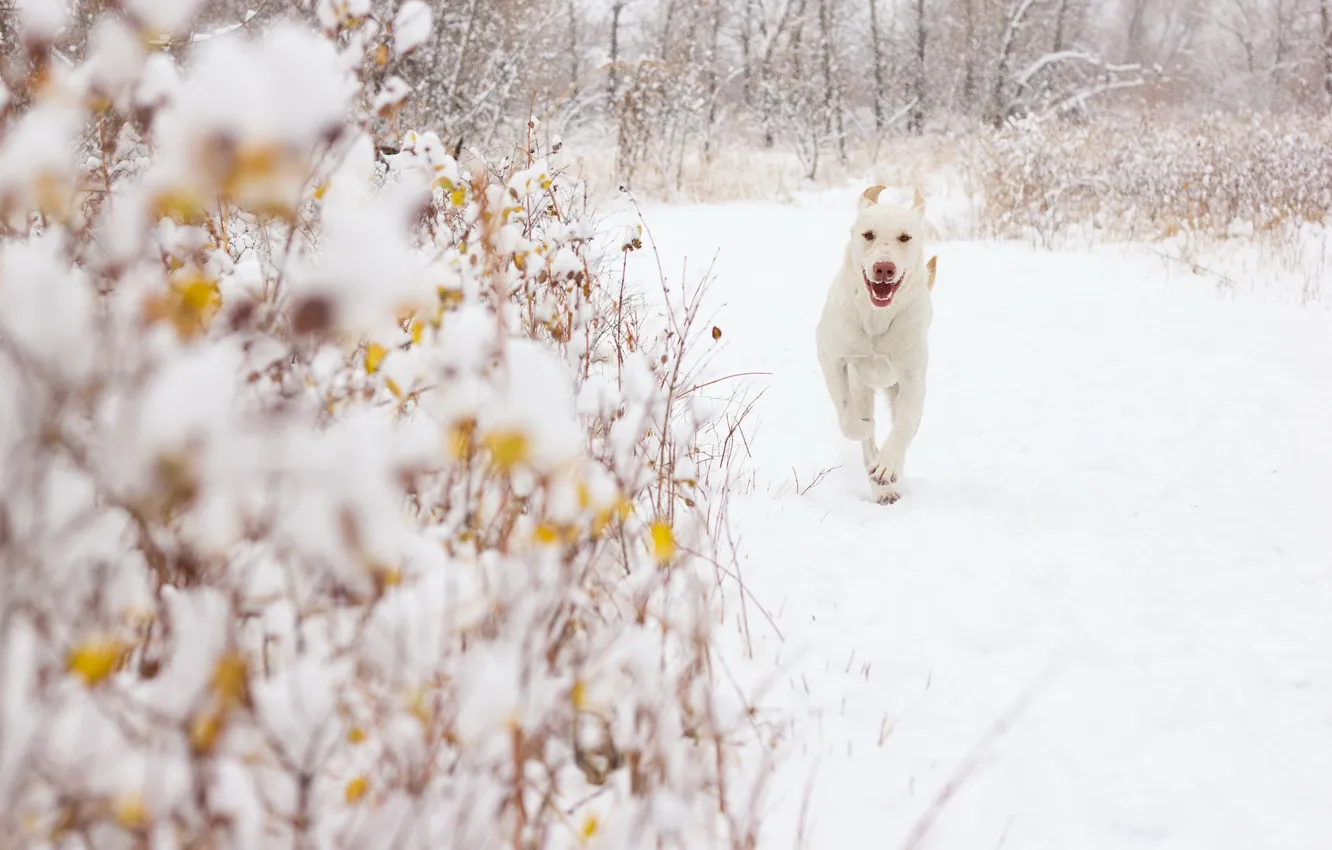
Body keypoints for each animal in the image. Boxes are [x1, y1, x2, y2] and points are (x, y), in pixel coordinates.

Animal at [809, 186, 937, 506]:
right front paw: (863, 427)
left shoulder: (913, 377)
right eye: (869, 234)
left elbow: (903, 425)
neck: (877, 317)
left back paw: (888, 479)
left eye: (905, 237)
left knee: (905, 426)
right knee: (866, 435)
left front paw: (887, 466)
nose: (884, 268)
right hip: (861, 386)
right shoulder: (832, 357)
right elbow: (847, 415)